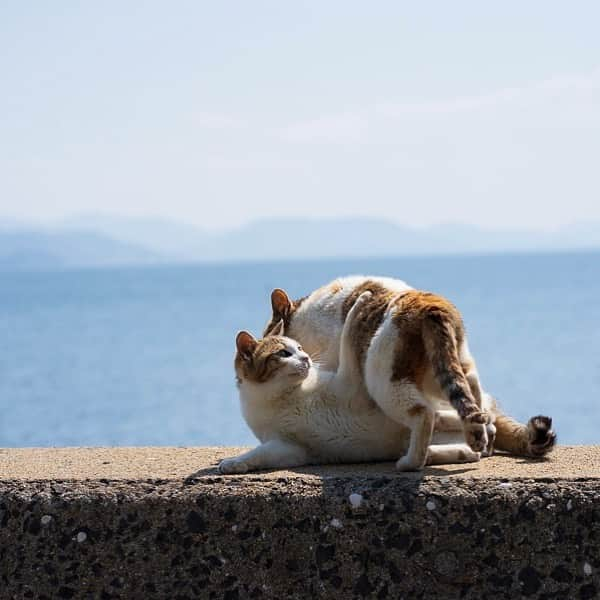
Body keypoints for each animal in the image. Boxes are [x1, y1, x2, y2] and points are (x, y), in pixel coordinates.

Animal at [218, 290, 480, 474]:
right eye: (284, 353)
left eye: (300, 348)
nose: (306, 359)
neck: (283, 395)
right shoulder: (287, 448)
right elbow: (258, 455)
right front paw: (234, 463)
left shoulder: (349, 381)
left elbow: (347, 335)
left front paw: (360, 302)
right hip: (401, 383)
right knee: (435, 414)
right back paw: (438, 454)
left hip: (394, 380)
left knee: (446, 412)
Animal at [264, 276, 556, 460]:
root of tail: (430, 306)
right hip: (449, 369)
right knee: (476, 400)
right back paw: (479, 436)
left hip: (385, 378)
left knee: (428, 414)